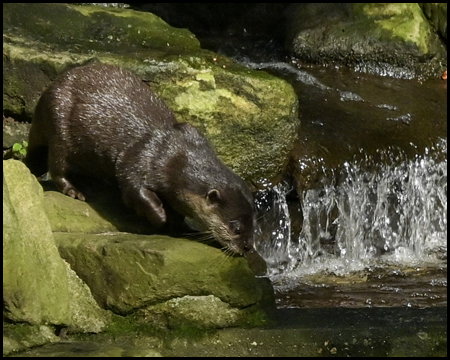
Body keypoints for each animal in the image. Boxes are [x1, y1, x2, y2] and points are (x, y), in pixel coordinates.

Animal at [25, 62, 256, 253]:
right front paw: (161, 217)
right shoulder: (140, 158)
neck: (176, 159)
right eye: (235, 227)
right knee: (57, 167)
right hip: (59, 124)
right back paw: (75, 190)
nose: (248, 247)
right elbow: (134, 189)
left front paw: (178, 224)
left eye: (254, 225)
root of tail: (48, 91)